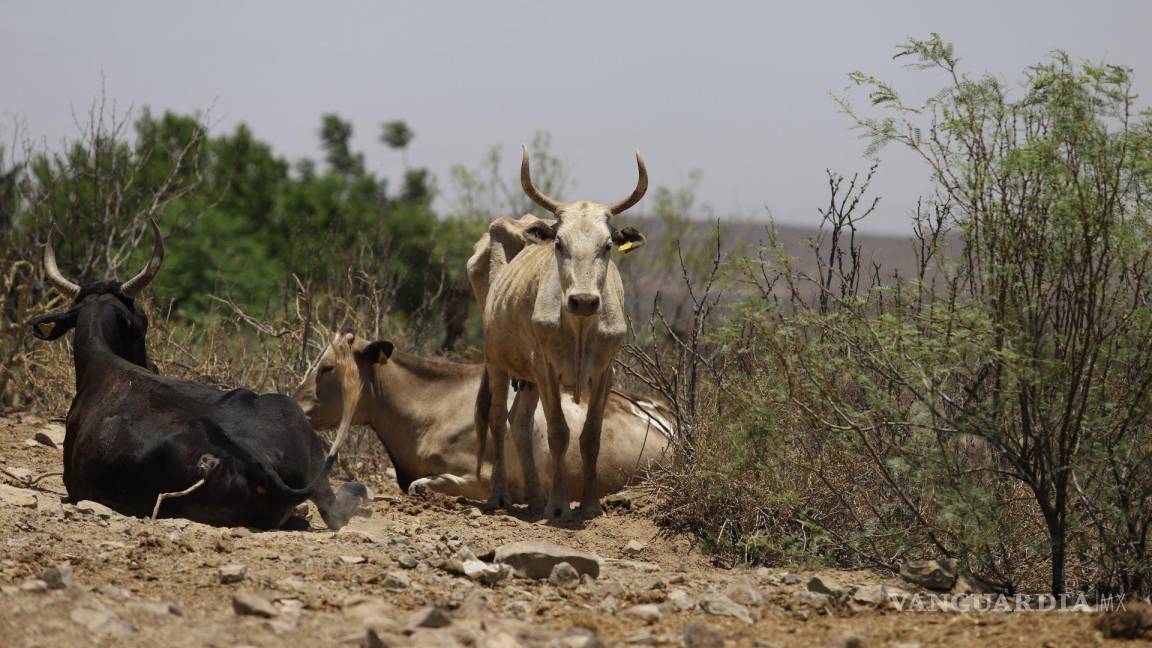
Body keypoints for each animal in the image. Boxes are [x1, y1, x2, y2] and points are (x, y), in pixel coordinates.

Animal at [472, 145, 649, 514]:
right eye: (559, 244)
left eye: (607, 245)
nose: (583, 300)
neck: (579, 327)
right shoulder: (546, 368)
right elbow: (558, 432)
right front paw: (558, 505)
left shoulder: (605, 372)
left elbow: (590, 436)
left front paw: (590, 505)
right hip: (497, 361)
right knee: (497, 418)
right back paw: (501, 496)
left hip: (526, 378)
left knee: (519, 422)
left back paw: (535, 498)